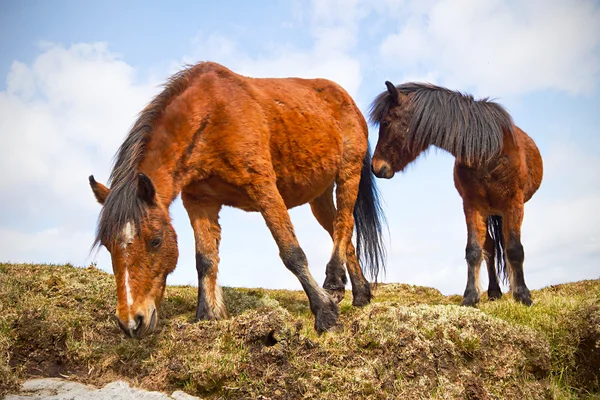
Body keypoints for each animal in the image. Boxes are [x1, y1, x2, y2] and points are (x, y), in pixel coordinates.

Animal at [88, 61, 384, 338]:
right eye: (107, 245)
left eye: (156, 241)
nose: (131, 322)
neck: (211, 114)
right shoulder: (199, 201)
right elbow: (205, 259)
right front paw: (206, 315)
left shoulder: (264, 187)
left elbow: (291, 252)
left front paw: (324, 314)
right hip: (319, 196)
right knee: (340, 231)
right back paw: (360, 294)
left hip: (348, 173)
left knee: (344, 223)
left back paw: (334, 283)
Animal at [370, 82, 544, 306]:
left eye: (386, 122)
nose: (376, 167)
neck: (487, 152)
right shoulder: (472, 205)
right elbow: (474, 250)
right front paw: (470, 297)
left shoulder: (513, 203)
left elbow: (514, 249)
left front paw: (523, 295)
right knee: (490, 248)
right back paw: (494, 292)